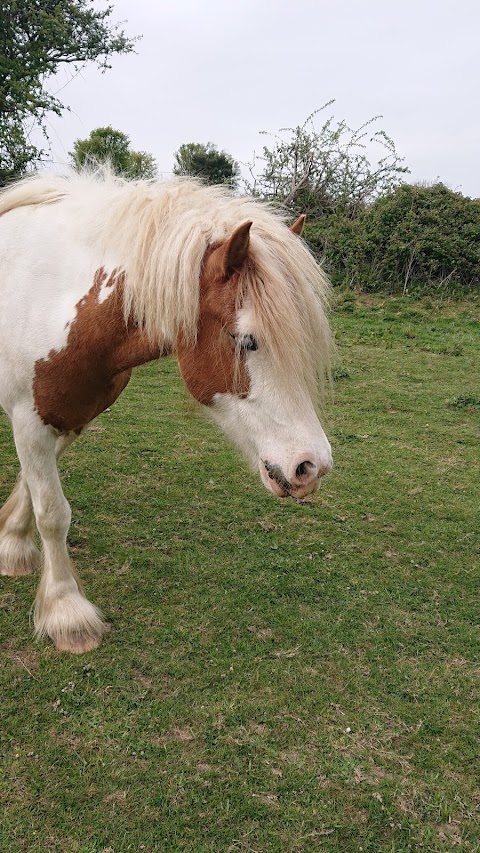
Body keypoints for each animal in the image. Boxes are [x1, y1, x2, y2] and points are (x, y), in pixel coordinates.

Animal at [0, 171, 332, 652]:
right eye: (246, 340)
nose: (312, 466)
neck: (54, 299)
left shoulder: (71, 413)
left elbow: (32, 485)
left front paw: (11, 541)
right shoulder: (29, 417)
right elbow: (52, 512)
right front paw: (66, 612)